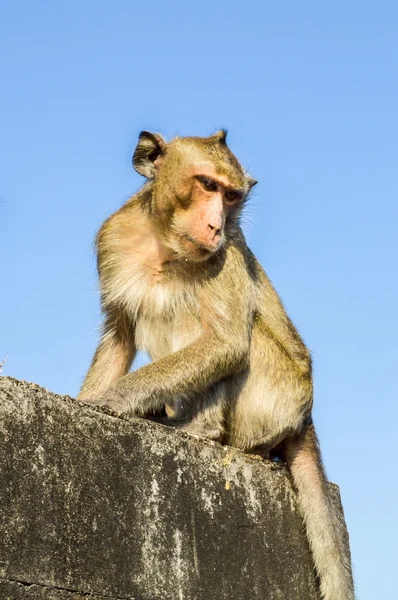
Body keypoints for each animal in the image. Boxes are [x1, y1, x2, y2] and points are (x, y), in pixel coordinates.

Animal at [77, 130, 354, 600]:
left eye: (231, 196)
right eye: (207, 185)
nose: (216, 226)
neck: (162, 244)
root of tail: (306, 418)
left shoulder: (226, 254)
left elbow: (226, 344)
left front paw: (111, 401)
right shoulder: (112, 240)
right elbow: (120, 335)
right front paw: (86, 398)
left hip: (274, 399)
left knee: (219, 328)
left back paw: (197, 428)